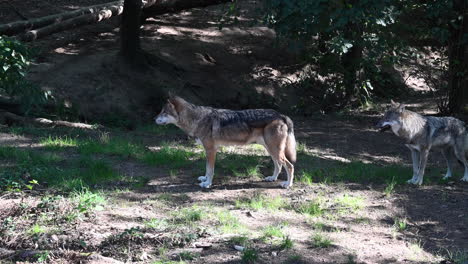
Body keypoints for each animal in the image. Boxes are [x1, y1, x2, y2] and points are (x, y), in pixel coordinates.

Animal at [155, 96, 298, 189]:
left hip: (275, 150)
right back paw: (272, 178)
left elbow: (210, 170)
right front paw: (204, 179)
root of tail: (281, 115)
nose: (154, 119)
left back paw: (287, 184)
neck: (198, 119)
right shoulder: (208, 151)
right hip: (271, 150)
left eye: (164, 112)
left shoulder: (211, 150)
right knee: (278, 165)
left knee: (289, 166)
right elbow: (207, 169)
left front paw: (207, 184)